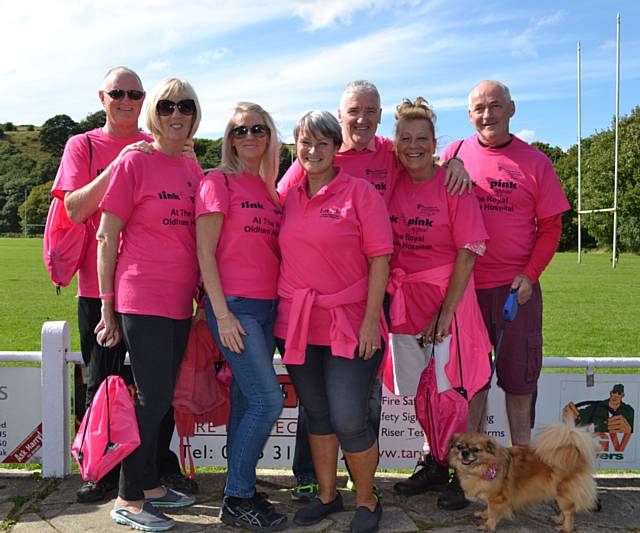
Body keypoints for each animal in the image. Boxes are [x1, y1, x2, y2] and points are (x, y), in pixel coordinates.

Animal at [448, 422, 596, 528]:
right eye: (459, 447)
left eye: (475, 449)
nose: (464, 453)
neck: (482, 467)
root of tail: (575, 452)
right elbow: (488, 508)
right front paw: (483, 514)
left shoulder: (497, 497)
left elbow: (493, 512)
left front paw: (488, 526)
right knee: (565, 510)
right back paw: (558, 520)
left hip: (562, 493)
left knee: (569, 511)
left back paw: (565, 528)